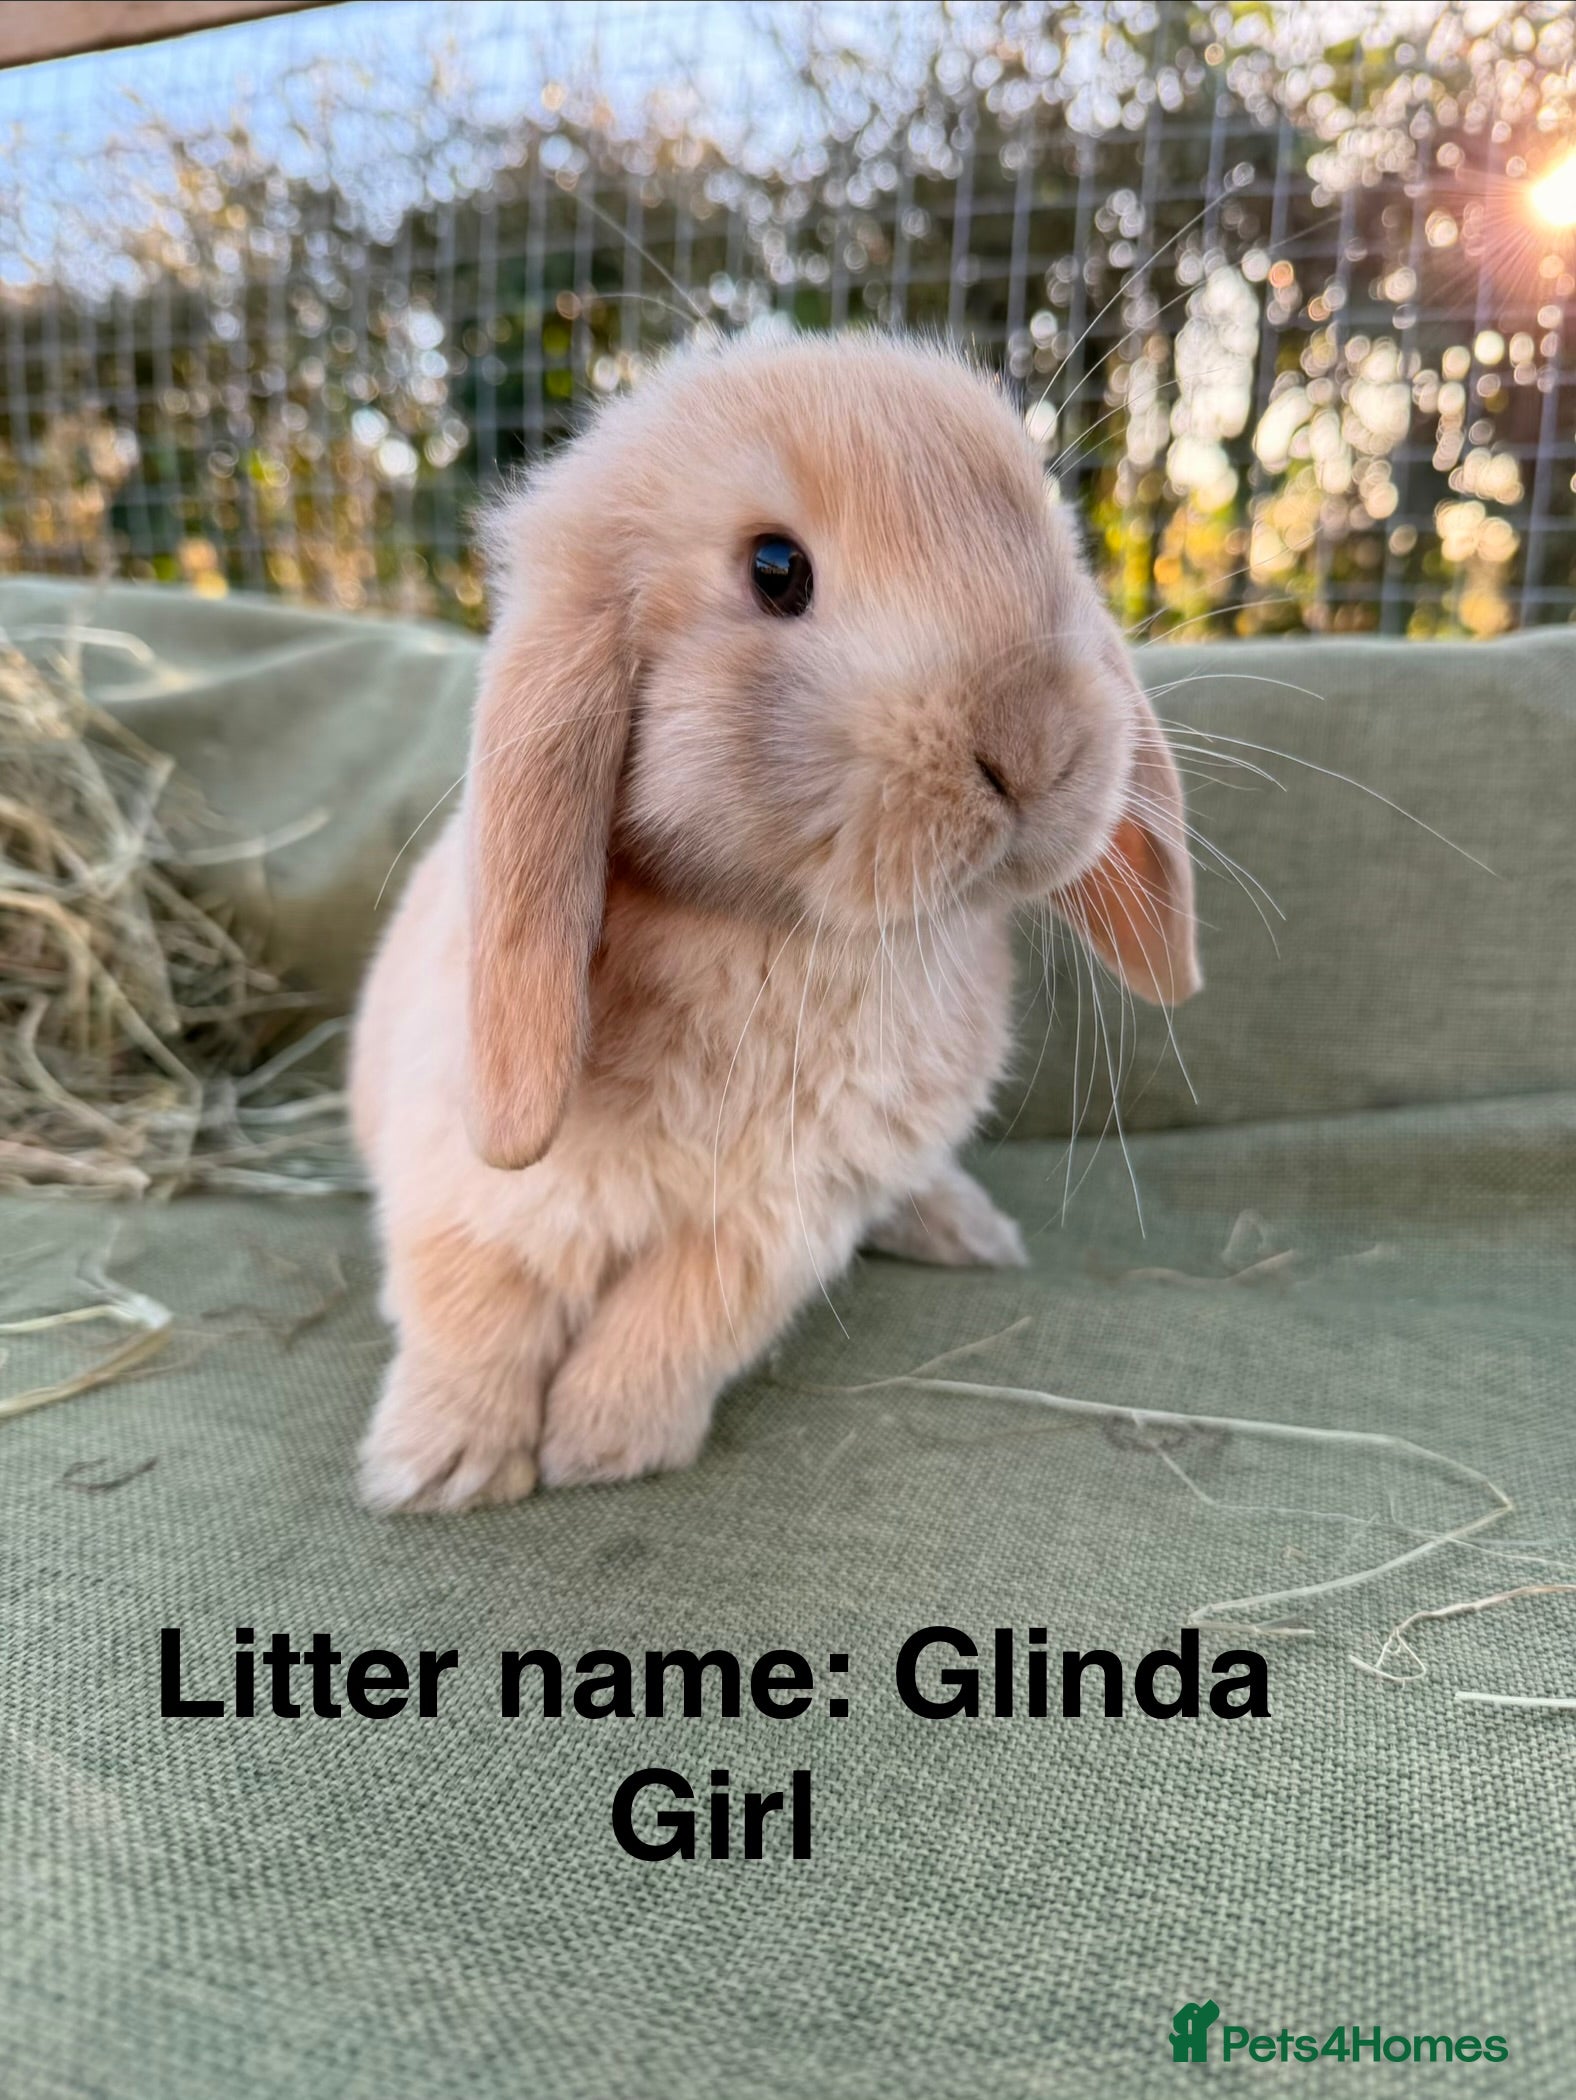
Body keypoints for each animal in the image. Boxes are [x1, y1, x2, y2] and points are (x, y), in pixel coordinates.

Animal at [350, 331, 1199, 1512]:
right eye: (775, 569)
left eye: (1050, 542)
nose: (1036, 746)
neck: (771, 936)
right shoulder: (468, 1182)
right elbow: (473, 1306)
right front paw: (440, 1464)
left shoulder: (783, 1216)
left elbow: (684, 1317)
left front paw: (603, 1442)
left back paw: (968, 1233)